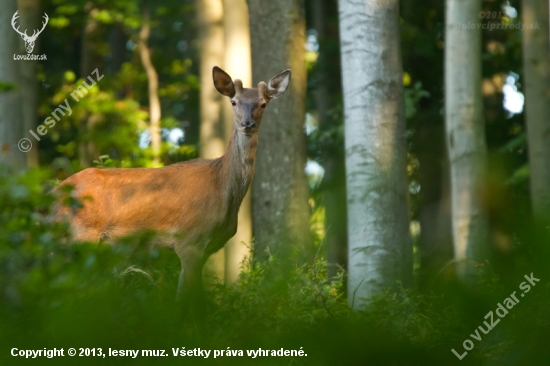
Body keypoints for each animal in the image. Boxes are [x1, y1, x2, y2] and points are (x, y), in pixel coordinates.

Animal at [55, 66, 294, 308]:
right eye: (234, 102)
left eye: (263, 103)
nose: (247, 124)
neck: (222, 188)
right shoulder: (189, 240)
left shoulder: (202, 248)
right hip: (80, 234)